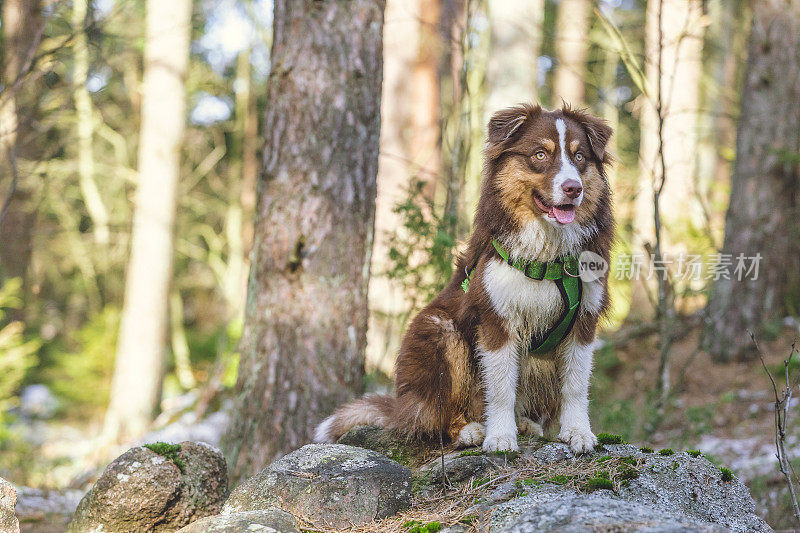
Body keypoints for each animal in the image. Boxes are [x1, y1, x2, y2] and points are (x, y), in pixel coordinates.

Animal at [312, 102, 612, 450]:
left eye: (579, 156)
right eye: (540, 154)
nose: (573, 188)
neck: (547, 254)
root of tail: (403, 405)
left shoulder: (583, 319)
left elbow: (575, 385)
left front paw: (577, 431)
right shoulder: (496, 319)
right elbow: (500, 388)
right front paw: (500, 436)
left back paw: (525, 423)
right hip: (441, 331)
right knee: (437, 418)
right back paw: (470, 429)